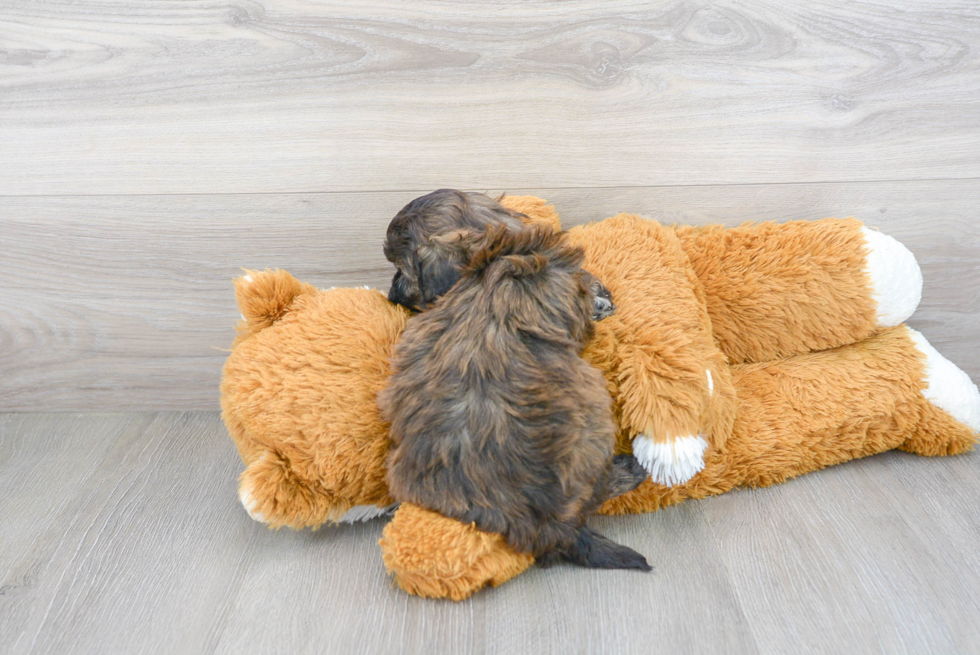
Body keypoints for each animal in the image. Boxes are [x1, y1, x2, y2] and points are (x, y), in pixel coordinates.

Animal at [380, 224, 652, 568]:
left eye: (400, 270)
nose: (391, 294)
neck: (487, 264)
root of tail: (551, 531)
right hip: (595, 412)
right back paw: (631, 469)